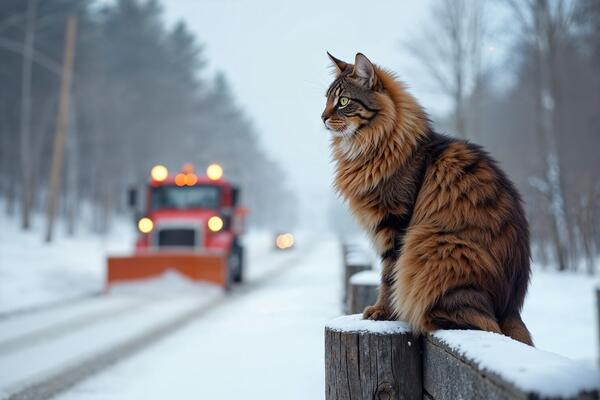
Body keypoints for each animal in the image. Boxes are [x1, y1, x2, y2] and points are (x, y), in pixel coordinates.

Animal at [324, 52, 536, 346]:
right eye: (326, 99)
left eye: (343, 101)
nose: (322, 117)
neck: (371, 145)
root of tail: (511, 307)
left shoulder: (395, 223)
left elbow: (388, 276)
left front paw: (382, 312)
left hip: (436, 246)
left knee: (481, 322)